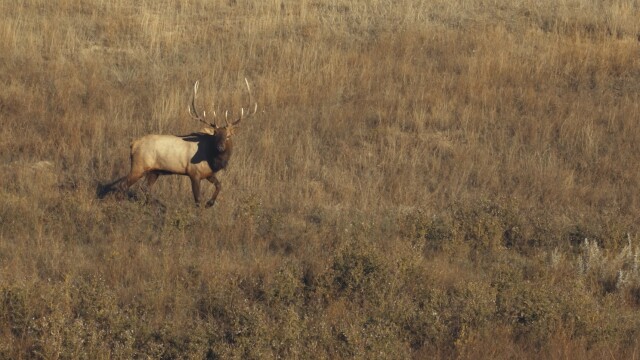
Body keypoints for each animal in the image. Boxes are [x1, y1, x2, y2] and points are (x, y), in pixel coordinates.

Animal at [102, 79, 258, 208]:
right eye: (215, 135)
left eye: (228, 136)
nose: (220, 147)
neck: (211, 159)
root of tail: (133, 144)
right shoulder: (193, 173)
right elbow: (197, 200)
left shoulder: (207, 173)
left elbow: (219, 185)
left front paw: (210, 203)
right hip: (138, 166)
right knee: (123, 186)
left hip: (154, 171)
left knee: (145, 188)